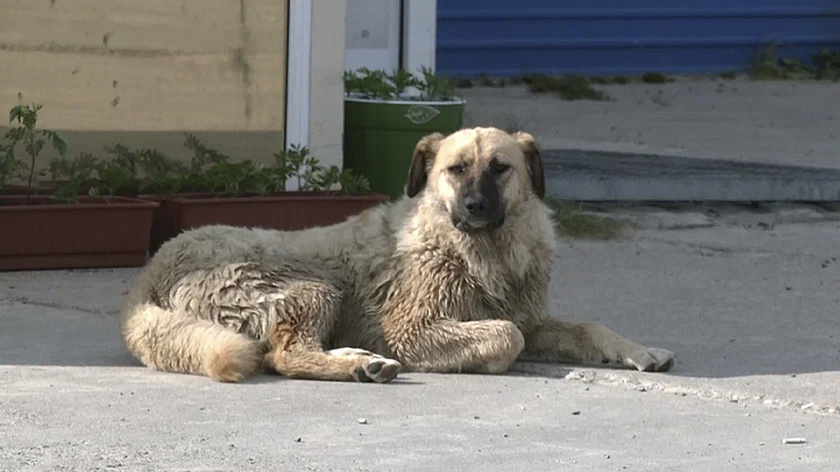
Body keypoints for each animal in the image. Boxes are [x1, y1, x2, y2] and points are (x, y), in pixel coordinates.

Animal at [120, 126, 676, 384]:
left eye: (500, 168)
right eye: (455, 169)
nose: (475, 207)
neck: (482, 250)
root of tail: (150, 275)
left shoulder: (532, 317)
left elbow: (587, 327)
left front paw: (641, 350)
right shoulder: (413, 329)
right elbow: (506, 335)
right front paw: (487, 361)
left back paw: (358, 362)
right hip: (313, 287)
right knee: (284, 354)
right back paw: (359, 367)